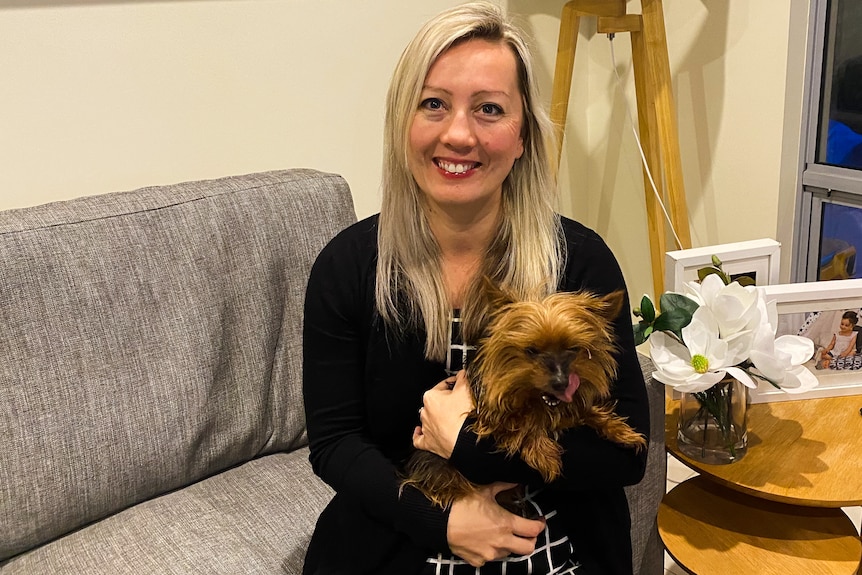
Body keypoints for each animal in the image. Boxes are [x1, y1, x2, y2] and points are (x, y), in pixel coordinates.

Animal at [402, 288, 644, 512]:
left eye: (573, 349)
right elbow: (522, 421)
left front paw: (622, 432)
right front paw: (543, 453)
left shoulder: (571, 405)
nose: (561, 382)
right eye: (532, 350)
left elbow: (587, 411)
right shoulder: (488, 418)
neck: (540, 398)